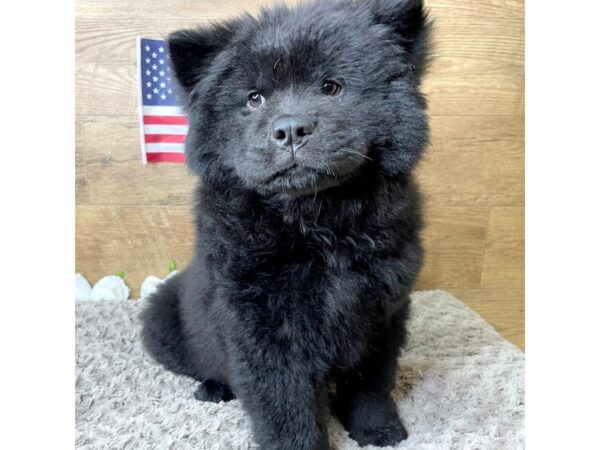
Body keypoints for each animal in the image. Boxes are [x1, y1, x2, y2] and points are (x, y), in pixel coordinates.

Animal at [142, 1, 432, 448]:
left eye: (331, 87)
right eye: (254, 99)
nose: (291, 128)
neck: (315, 220)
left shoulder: (381, 312)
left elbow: (371, 383)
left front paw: (378, 431)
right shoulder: (263, 326)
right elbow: (284, 405)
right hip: (162, 317)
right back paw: (213, 388)